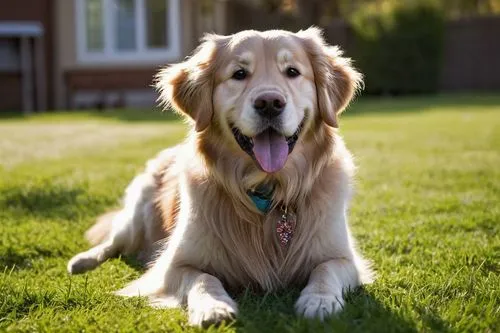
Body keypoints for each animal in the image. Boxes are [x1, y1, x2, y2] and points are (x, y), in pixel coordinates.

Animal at [68, 27, 376, 324]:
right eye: (239, 74)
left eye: (292, 72)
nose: (269, 103)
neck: (268, 188)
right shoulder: (174, 266)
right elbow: (205, 278)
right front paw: (212, 307)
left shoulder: (344, 258)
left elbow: (325, 270)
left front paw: (319, 301)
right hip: (138, 213)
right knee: (113, 242)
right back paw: (82, 261)